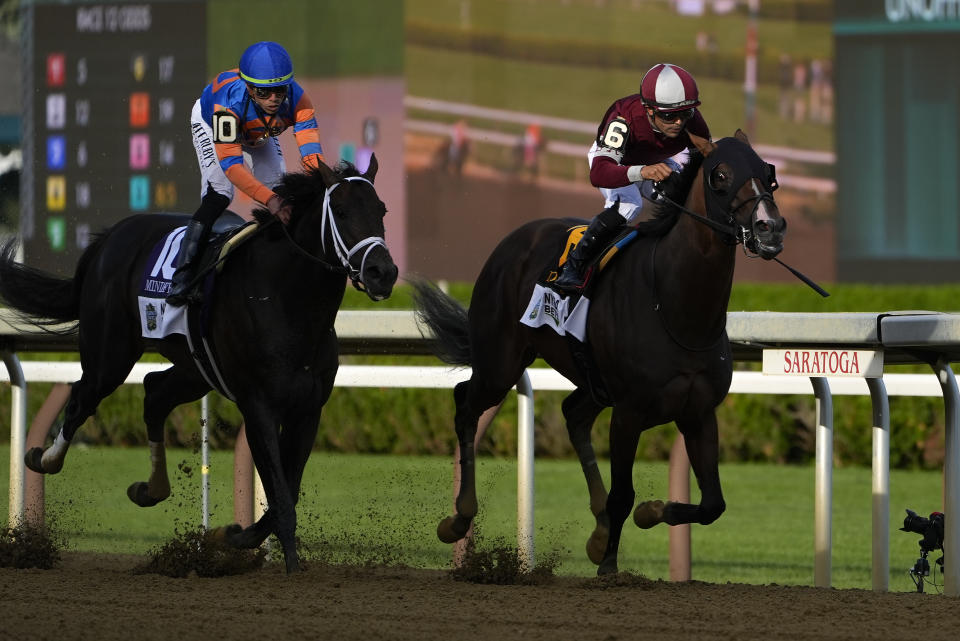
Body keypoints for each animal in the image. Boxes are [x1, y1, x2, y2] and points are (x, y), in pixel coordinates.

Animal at [0, 158, 398, 572]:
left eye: (381, 210)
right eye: (341, 211)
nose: (382, 273)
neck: (288, 299)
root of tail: (110, 238)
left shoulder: (308, 409)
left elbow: (287, 490)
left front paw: (235, 536)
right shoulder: (258, 405)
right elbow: (280, 492)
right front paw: (282, 559)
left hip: (195, 369)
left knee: (154, 393)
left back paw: (151, 488)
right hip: (110, 353)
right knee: (83, 397)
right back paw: (43, 458)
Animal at [414, 131, 788, 576]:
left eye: (769, 172)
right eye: (720, 176)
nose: (770, 227)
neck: (676, 309)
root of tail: (514, 239)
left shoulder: (697, 412)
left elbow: (713, 503)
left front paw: (649, 513)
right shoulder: (629, 412)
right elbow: (623, 494)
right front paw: (609, 565)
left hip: (590, 381)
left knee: (572, 414)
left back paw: (597, 530)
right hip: (500, 361)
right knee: (466, 405)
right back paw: (458, 518)